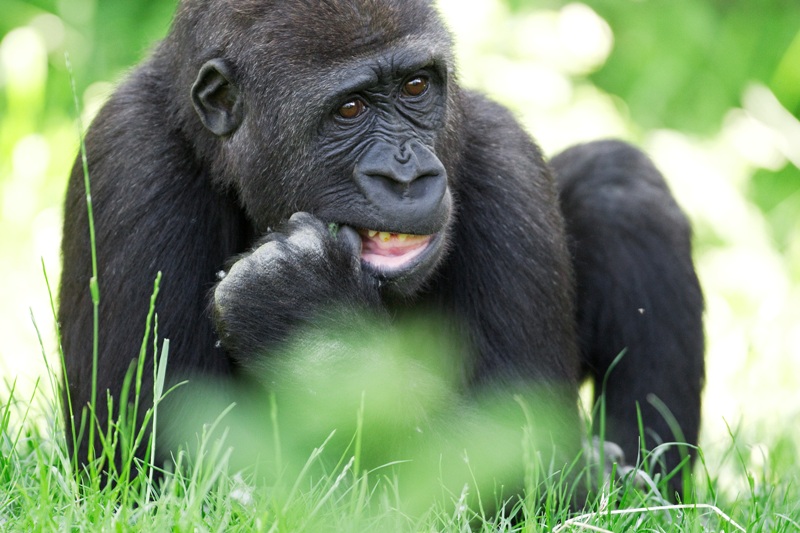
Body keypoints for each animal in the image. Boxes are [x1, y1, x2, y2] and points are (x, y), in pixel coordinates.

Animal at [59, 0, 704, 498]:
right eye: (350, 108)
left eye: (417, 86)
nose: (408, 175)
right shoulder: (129, 159)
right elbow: (154, 465)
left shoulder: (507, 159)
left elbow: (528, 465)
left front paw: (307, 310)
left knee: (616, 185)